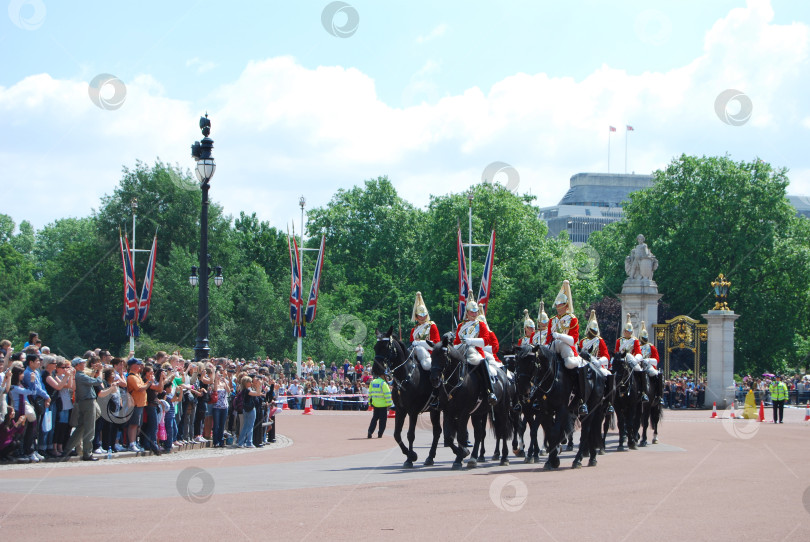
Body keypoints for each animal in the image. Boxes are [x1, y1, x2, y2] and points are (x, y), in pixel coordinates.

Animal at [374, 330, 442, 470]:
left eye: (386, 347)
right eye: (375, 347)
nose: (375, 369)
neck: (405, 377)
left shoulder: (413, 411)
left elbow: (410, 434)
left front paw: (410, 459)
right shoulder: (400, 410)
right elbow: (396, 434)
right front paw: (411, 455)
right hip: (435, 410)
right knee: (437, 431)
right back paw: (430, 457)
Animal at [430, 334, 512, 470]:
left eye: (443, 355)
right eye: (431, 356)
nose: (434, 379)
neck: (456, 381)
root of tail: (503, 374)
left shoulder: (464, 413)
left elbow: (461, 436)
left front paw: (459, 459)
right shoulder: (448, 411)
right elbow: (449, 437)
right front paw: (463, 453)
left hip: (502, 409)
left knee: (503, 430)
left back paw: (504, 457)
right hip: (477, 413)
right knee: (479, 434)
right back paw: (473, 458)